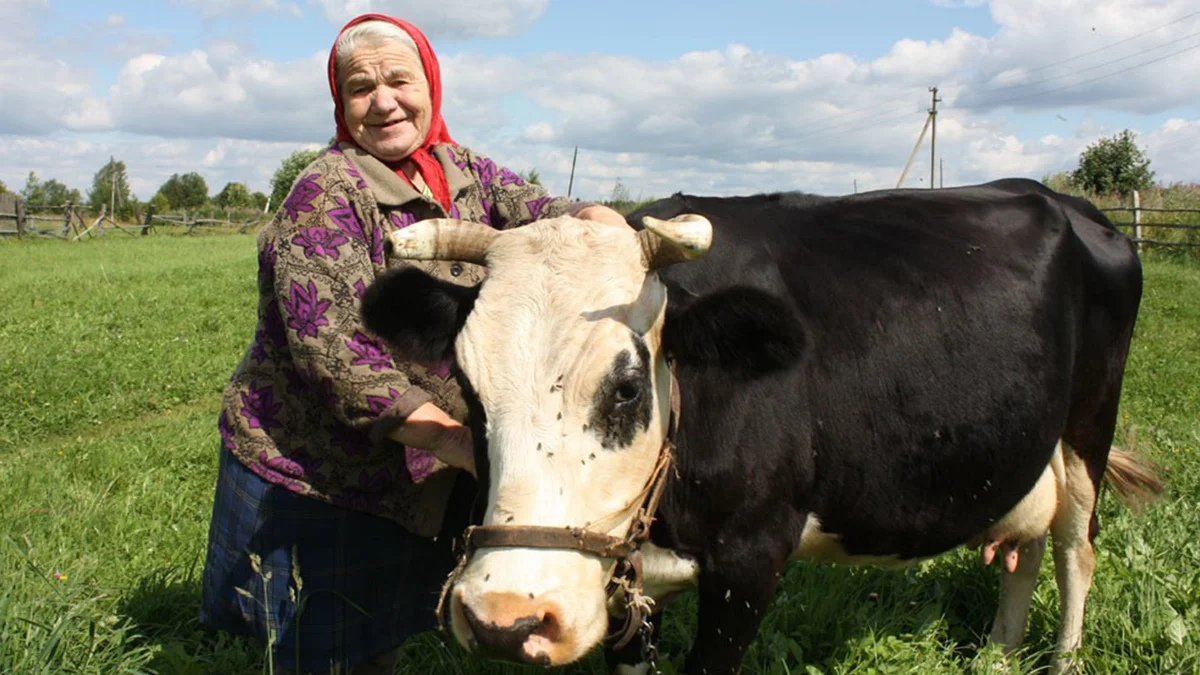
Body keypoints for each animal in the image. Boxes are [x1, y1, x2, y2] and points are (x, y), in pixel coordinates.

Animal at [360, 178, 1156, 672]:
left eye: (626, 388)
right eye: (468, 389)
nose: (506, 620)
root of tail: (1061, 199)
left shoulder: (751, 560)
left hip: (1090, 426)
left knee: (1076, 547)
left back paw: (1062, 659)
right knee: (1025, 541)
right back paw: (997, 651)